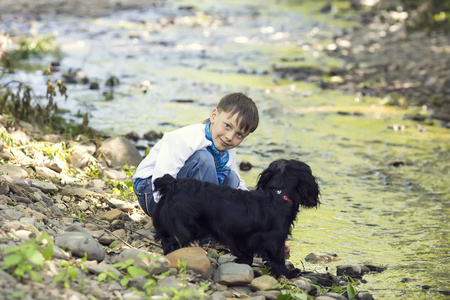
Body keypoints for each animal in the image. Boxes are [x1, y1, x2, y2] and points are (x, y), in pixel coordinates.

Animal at [153, 159, 322, 278]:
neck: (278, 194)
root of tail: (173, 183)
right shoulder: (274, 241)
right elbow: (278, 260)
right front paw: (289, 273)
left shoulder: (243, 239)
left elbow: (247, 257)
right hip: (181, 230)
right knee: (171, 245)